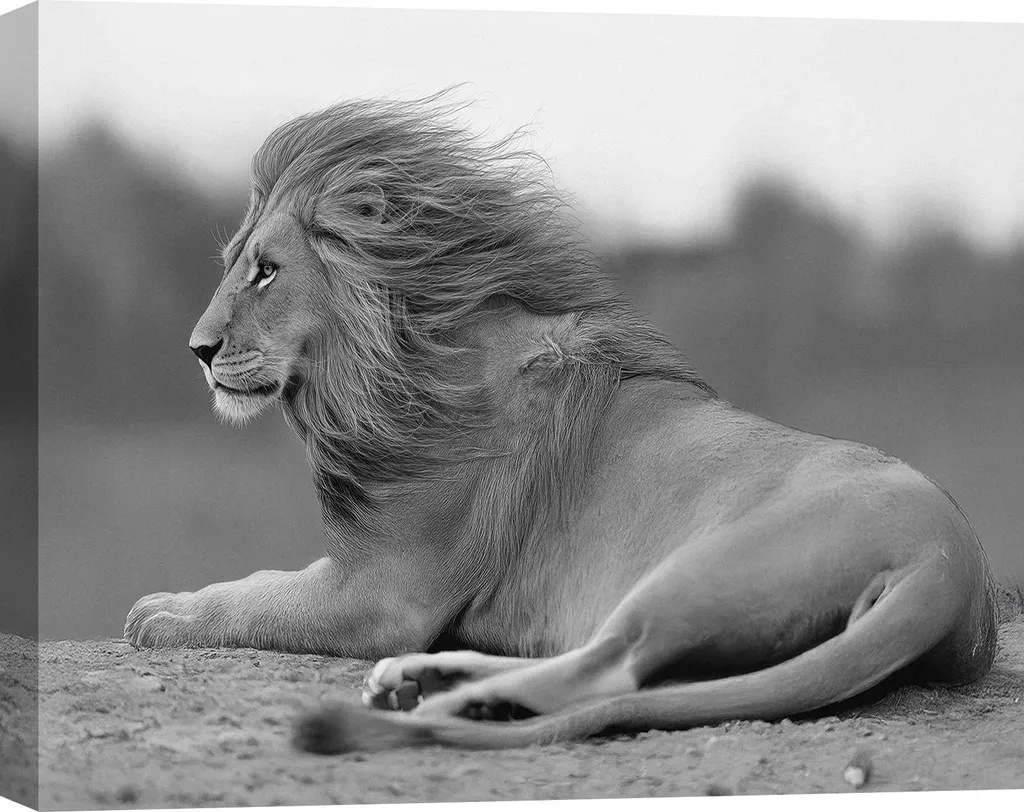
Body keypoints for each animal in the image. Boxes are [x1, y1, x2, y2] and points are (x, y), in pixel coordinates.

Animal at [124, 94, 997, 752]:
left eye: (266, 272)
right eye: (233, 265)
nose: (200, 350)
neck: (389, 370)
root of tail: (947, 564)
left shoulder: (383, 592)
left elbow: (261, 599)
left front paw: (160, 614)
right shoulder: (367, 571)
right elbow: (262, 582)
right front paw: (167, 602)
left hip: (700, 566)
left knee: (609, 667)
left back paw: (442, 700)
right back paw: (430, 681)